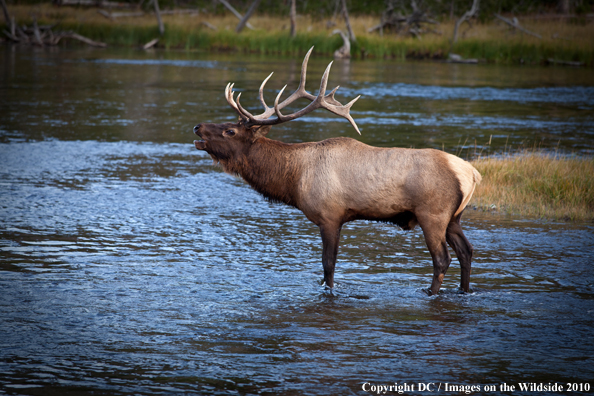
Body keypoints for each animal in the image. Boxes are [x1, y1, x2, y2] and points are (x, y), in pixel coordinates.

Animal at [194, 47, 480, 294]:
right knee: (466, 251)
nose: (198, 127)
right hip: (454, 217)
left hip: (432, 214)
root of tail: (472, 174)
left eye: (230, 131)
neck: (293, 179)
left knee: (442, 259)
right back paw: (464, 290)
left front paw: (329, 290)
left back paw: (430, 292)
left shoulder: (330, 215)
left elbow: (328, 264)